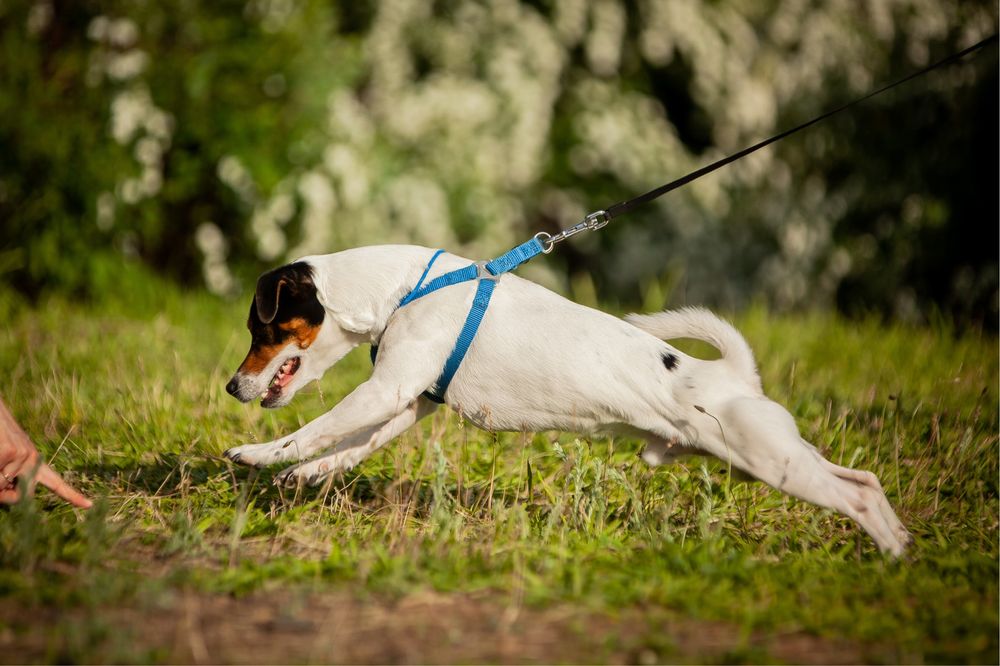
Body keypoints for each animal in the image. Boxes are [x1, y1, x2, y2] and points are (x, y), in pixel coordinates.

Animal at [227, 244, 916, 556]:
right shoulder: (406, 402)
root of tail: (735, 377)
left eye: (261, 329)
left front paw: (259, 455)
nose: (233, 387)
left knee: (854, 492)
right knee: (865, 479)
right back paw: (901, 550)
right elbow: (345, 447)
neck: (399, 288)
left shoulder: (386, 390)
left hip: (771, 460)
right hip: (777, 455)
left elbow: (316, 426)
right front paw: (303, 475)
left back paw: (888, 553)